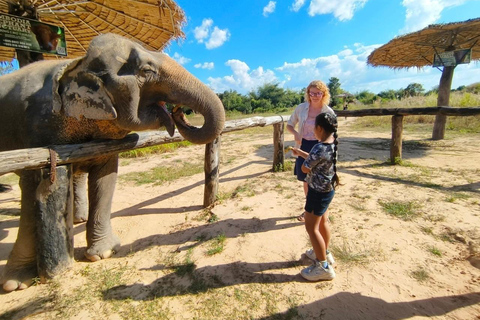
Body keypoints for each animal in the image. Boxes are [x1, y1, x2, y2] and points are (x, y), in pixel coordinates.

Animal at [0, 33, 227, 292]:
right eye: (146, 71)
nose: (179, 112)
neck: (76, 64)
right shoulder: (36, 128)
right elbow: (31, 188)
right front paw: (16, 284)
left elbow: (105, 177)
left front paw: (104, 253)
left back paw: (78, 219)